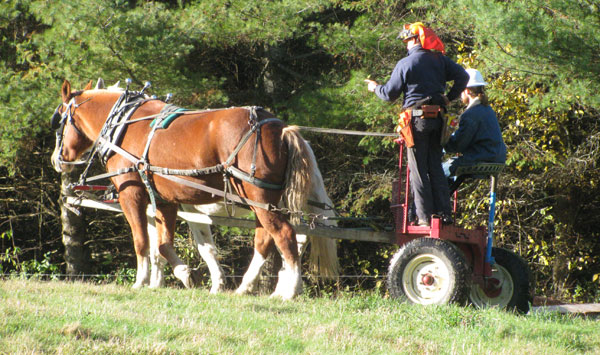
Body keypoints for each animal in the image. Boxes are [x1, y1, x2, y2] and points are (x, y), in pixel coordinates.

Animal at [51, 80, 314, 300]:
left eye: (60, 120)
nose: (57, 159)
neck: (123, 125)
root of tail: (279, 128)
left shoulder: (131, 194)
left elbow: (141, 241)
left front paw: (140, 281)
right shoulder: (164, 201)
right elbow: (162, 245)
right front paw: (186, 274)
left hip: (259, 198)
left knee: (285, 235)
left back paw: (291, 289)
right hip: (263, 202)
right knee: (264, 240)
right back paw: (245, 287)